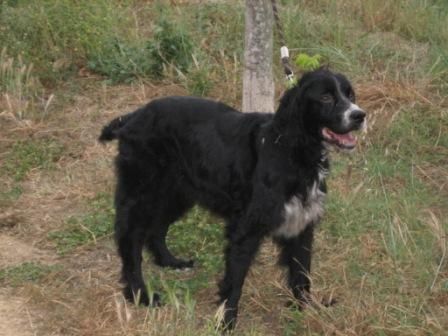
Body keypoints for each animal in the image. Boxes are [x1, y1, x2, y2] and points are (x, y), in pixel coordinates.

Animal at [99, 69, 364, 330]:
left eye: (350, 94)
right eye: (326, 97)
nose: (360, 115)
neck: (293, 152)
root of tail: (134, 116)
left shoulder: (301, 224)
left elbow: (301, 273)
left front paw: (305, 311)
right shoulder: (245, 228)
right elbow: (235, 280)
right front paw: (225, 321)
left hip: (175, 195)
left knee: (157, 228)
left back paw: (170, 261)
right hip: (142, 194)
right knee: (130, 241)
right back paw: (140, 294)